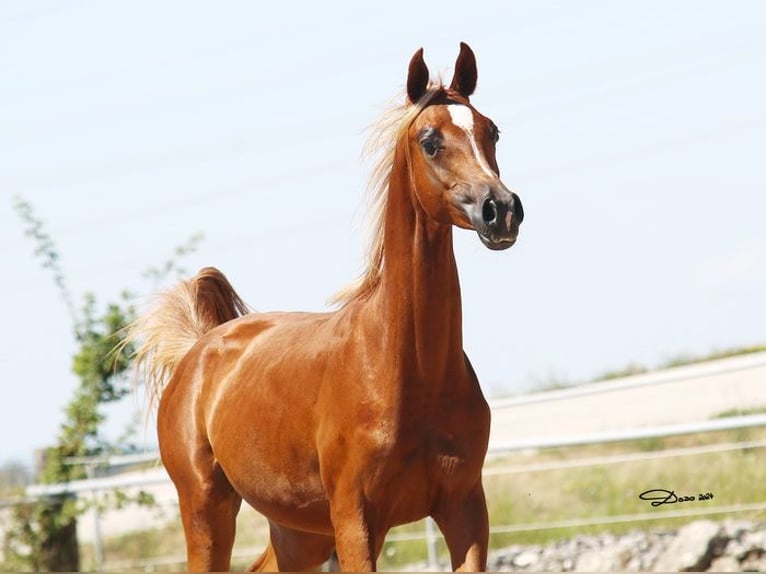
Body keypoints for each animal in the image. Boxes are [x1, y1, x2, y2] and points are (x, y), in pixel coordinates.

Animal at [129, 42, 524, 572]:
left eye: (491, 131)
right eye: (430, 141)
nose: (500, 210)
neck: (405, 369)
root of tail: (200, 349)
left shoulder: (465, 510)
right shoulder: (357, 521)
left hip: (299, 530)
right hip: (207, 511)